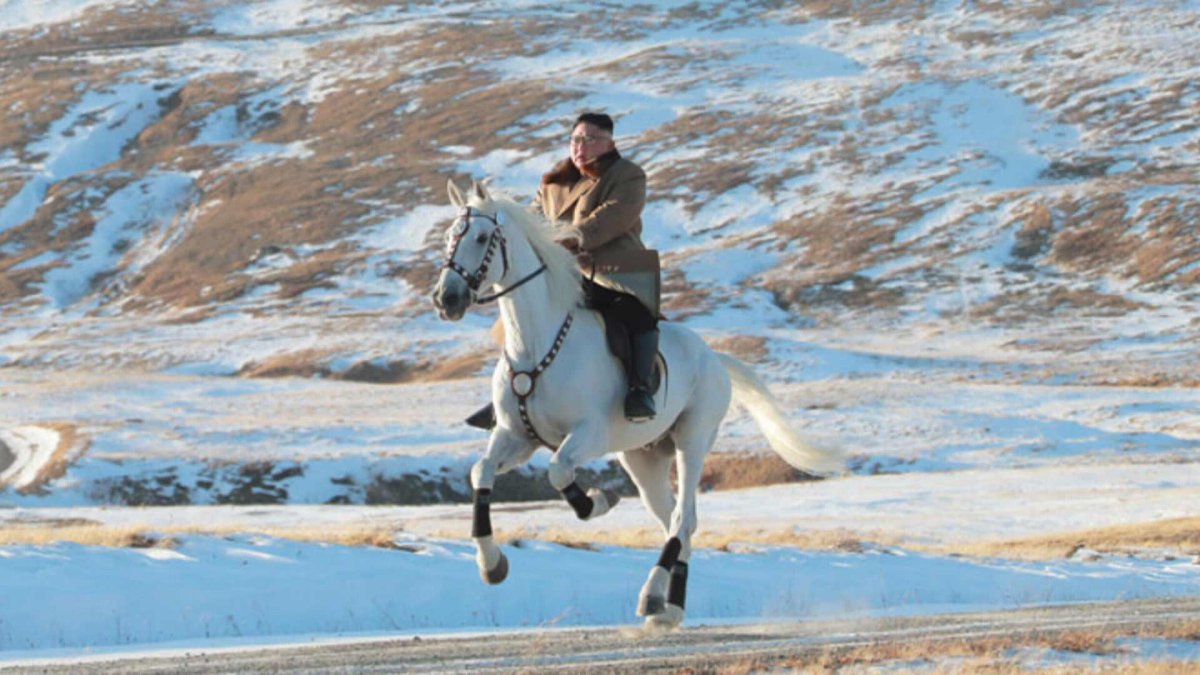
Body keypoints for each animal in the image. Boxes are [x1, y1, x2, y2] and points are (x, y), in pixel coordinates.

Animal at [434, 177, 844, 624]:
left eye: (482, 237)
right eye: (449, 237)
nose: (446, 298)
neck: (536, 344)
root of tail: (714, 357)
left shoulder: (588, 434)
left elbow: (559, 471)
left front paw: (597, 502)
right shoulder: (516, 436)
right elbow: (481, 472)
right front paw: (492, 565)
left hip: (692, 440)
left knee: (682, 518)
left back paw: (652, 597)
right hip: (643, 459)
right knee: (677, 523)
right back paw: (669, 608)